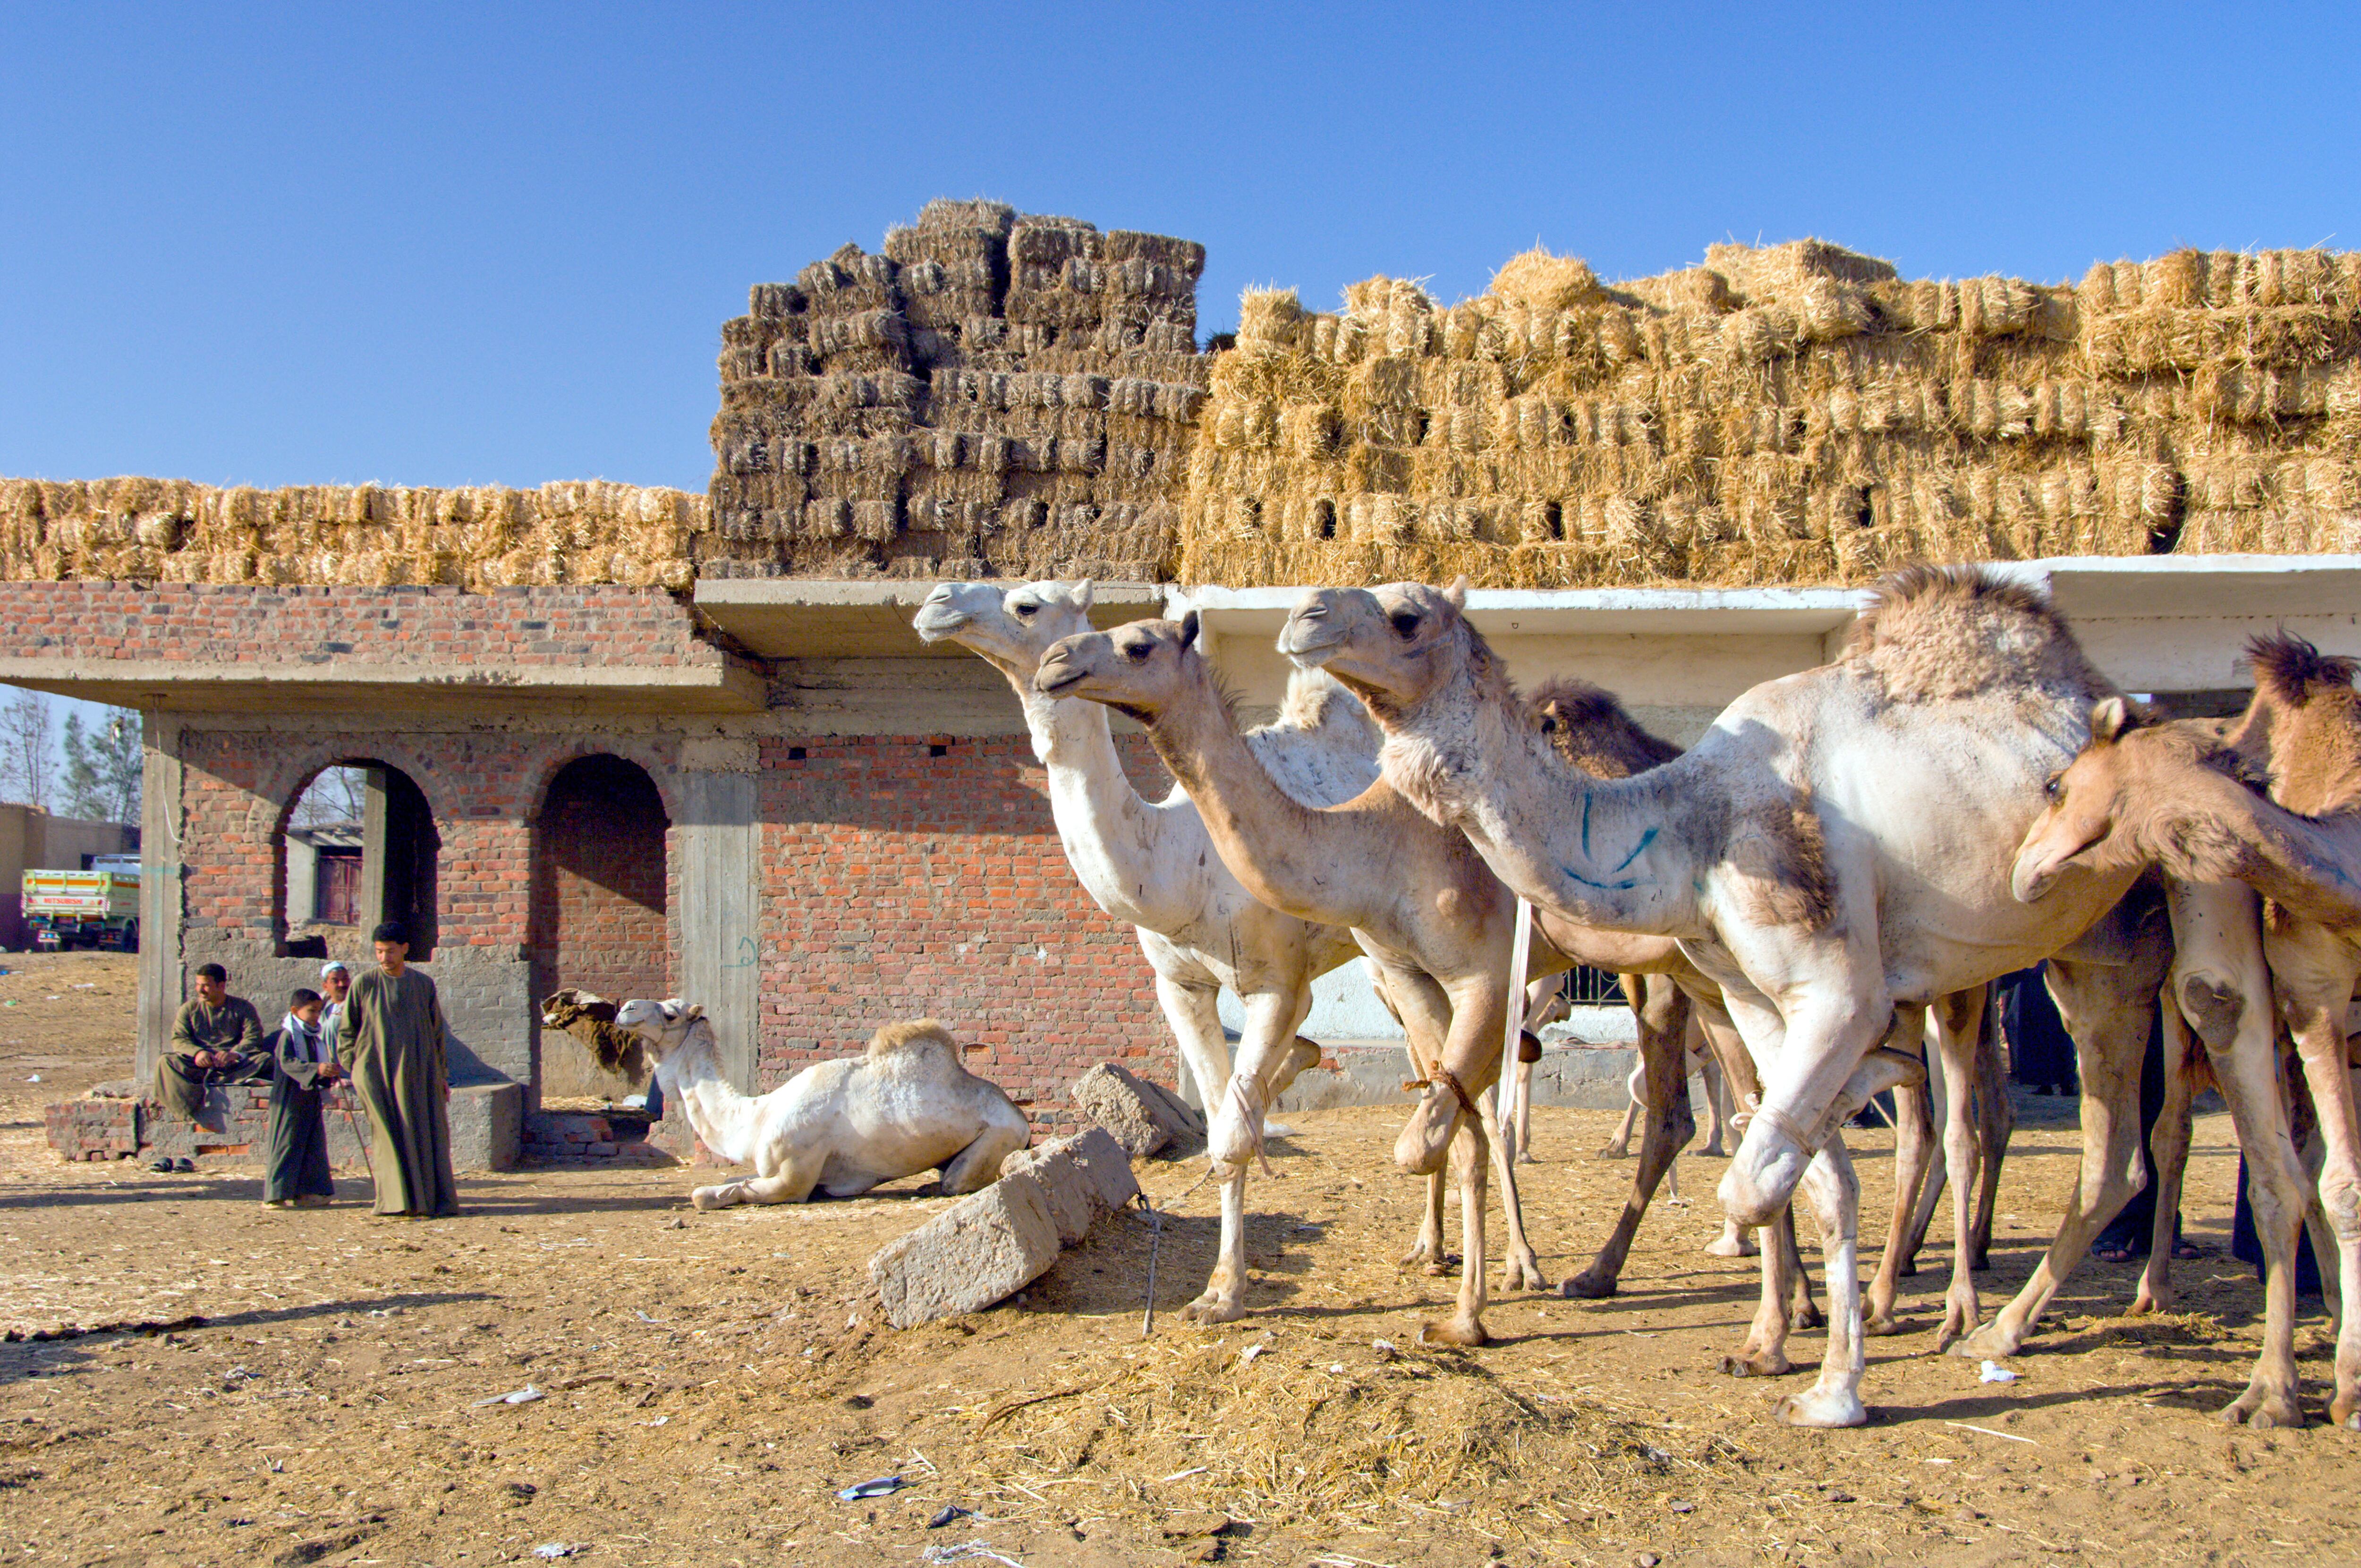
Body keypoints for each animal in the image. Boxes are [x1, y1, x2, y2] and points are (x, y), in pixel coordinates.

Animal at [614, 1006, 1039, 1209]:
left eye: (670, 1012)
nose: (626, 1009)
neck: (757, 1117)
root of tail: (1021, 1119)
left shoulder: (793, 1173)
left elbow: (709, 1194)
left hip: (1001, 1135)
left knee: (957, 1181)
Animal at [1284, 569, 2295, 1426]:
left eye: (1406, 615)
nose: (1304, 614)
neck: (1689, 823)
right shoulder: (1754, 994)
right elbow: (1821, 1181)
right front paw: (1828, 1385)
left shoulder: (1834, 986)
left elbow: (1757, 1173)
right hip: (2091, 956)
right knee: (2110, 1149)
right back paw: (2004, 1323)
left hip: (2190, 901)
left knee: (2219, 1077)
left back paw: (2261, 1384)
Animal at [2012, 633, 2361, 1426]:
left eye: (2057, 785)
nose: (2021, 869)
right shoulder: (2312, 997)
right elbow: (2325, 1183)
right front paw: (2284, 1390)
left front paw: (2324, 1381)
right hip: (2193, 1015)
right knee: (2180, 1135)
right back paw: (2155, 1288)